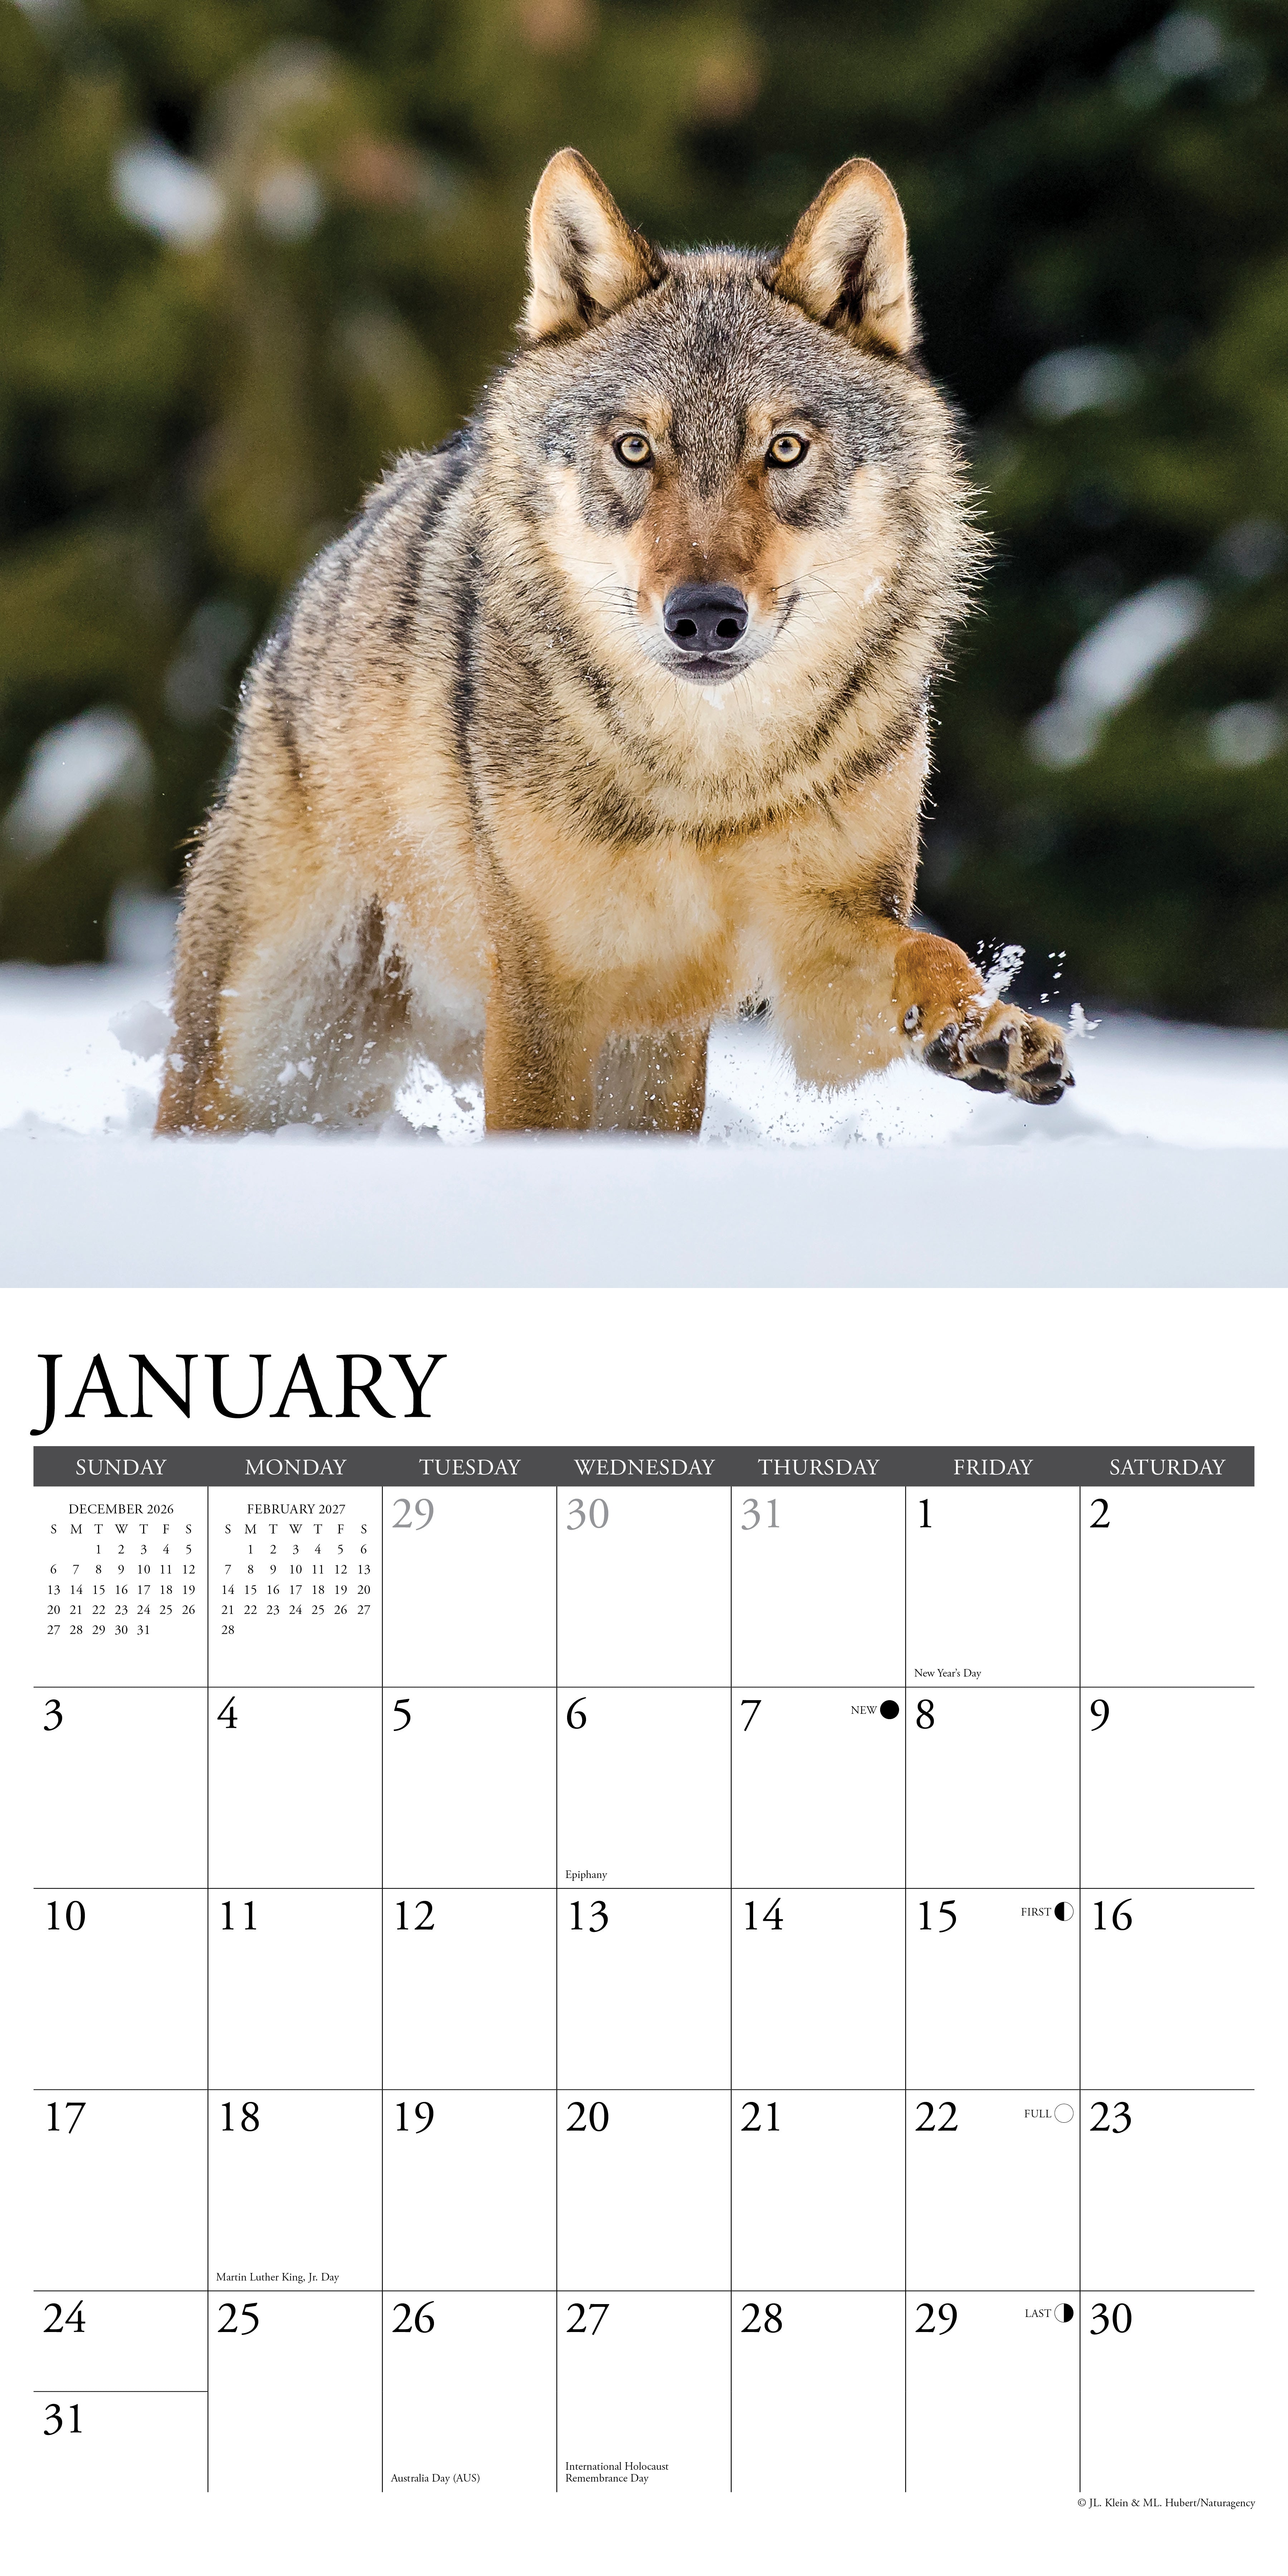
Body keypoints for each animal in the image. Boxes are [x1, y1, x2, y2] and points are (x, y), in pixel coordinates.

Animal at [158, 149, 1072, 1136]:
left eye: (785, 449)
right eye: (635, 449)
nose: (704, 616)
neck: (707, 784)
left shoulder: (820, 957)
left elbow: (932, 952)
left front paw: (988, 1028)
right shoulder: (544, 991)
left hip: (647, 1057)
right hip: (264, 1060)